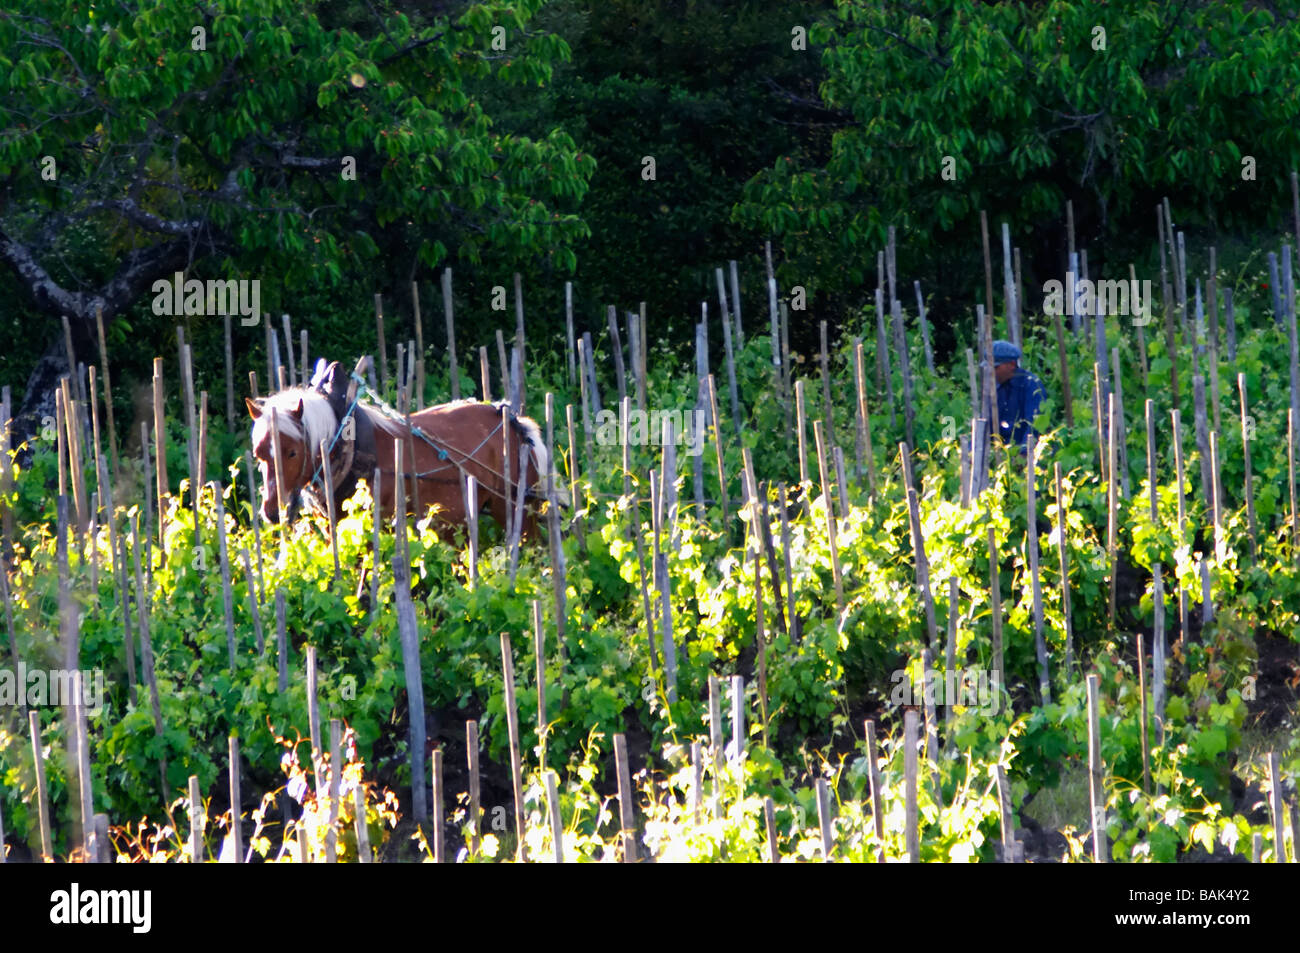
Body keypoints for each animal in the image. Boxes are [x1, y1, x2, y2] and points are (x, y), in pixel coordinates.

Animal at [245, 361, 556, 535]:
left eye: (292, 452)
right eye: (259, 454)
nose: (272, 512)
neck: (346, 447)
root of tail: (512, 420)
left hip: (516, 509)